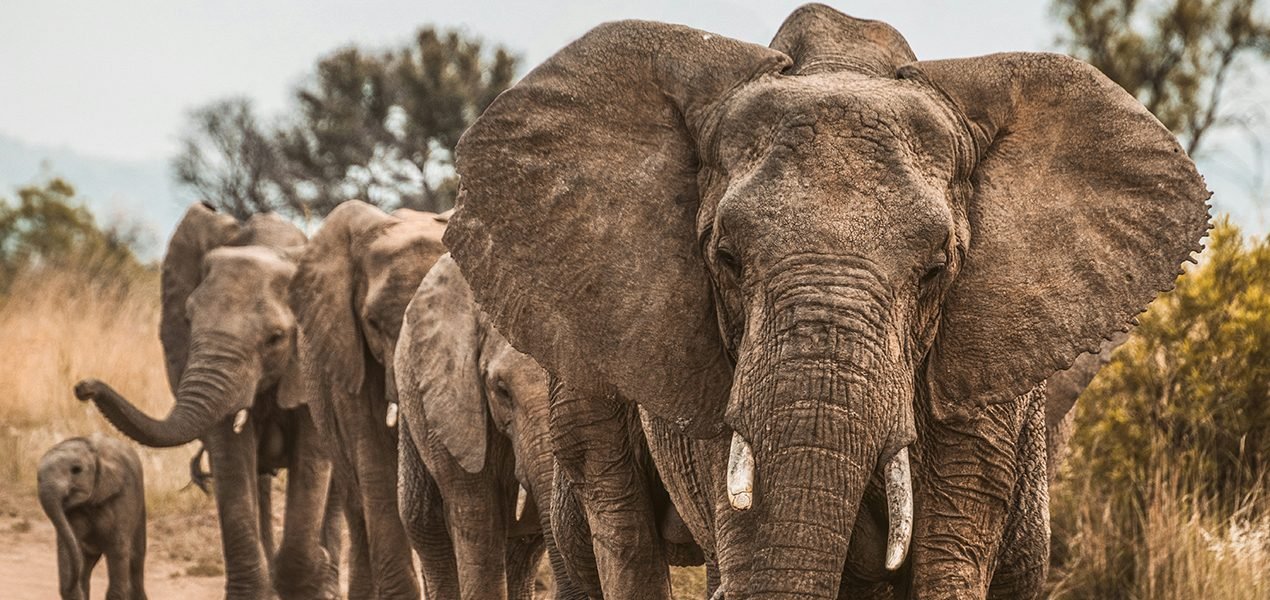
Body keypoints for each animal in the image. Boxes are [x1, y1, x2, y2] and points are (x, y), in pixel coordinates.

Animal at [38, 434, 146, 600]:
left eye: (76, 470)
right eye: (37, 477)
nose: (71, 583)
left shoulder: (124, 496)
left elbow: (118, 548)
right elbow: (68, 545)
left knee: (136, 560)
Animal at [74, 202, 337, 600]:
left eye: (276, 338)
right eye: (187, 319)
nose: (83, 387)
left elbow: (312, 457)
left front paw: (310, 580)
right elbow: (231, 458)